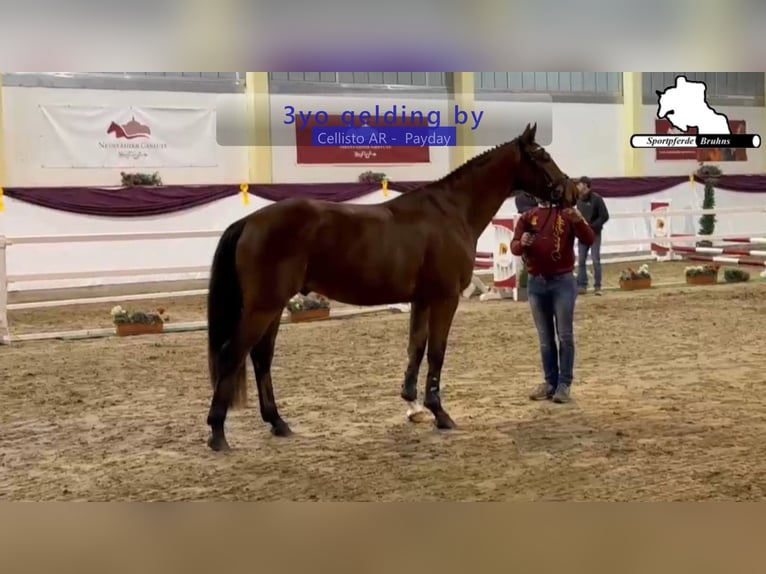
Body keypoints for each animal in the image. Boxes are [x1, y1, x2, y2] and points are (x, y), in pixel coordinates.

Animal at [205, 123, 576, 451]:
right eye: (542, 155)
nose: (572, 191)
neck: (451, 211)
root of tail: (249, 222)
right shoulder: (445, 299)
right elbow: (436, 351)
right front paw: (440, 413)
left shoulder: (422, 300)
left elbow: (416, 348)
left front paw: (414, 406)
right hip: (263, 306)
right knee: (232, 355)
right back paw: (218, 433)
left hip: (273, 306)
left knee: (260, 358)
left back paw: (277, 423)